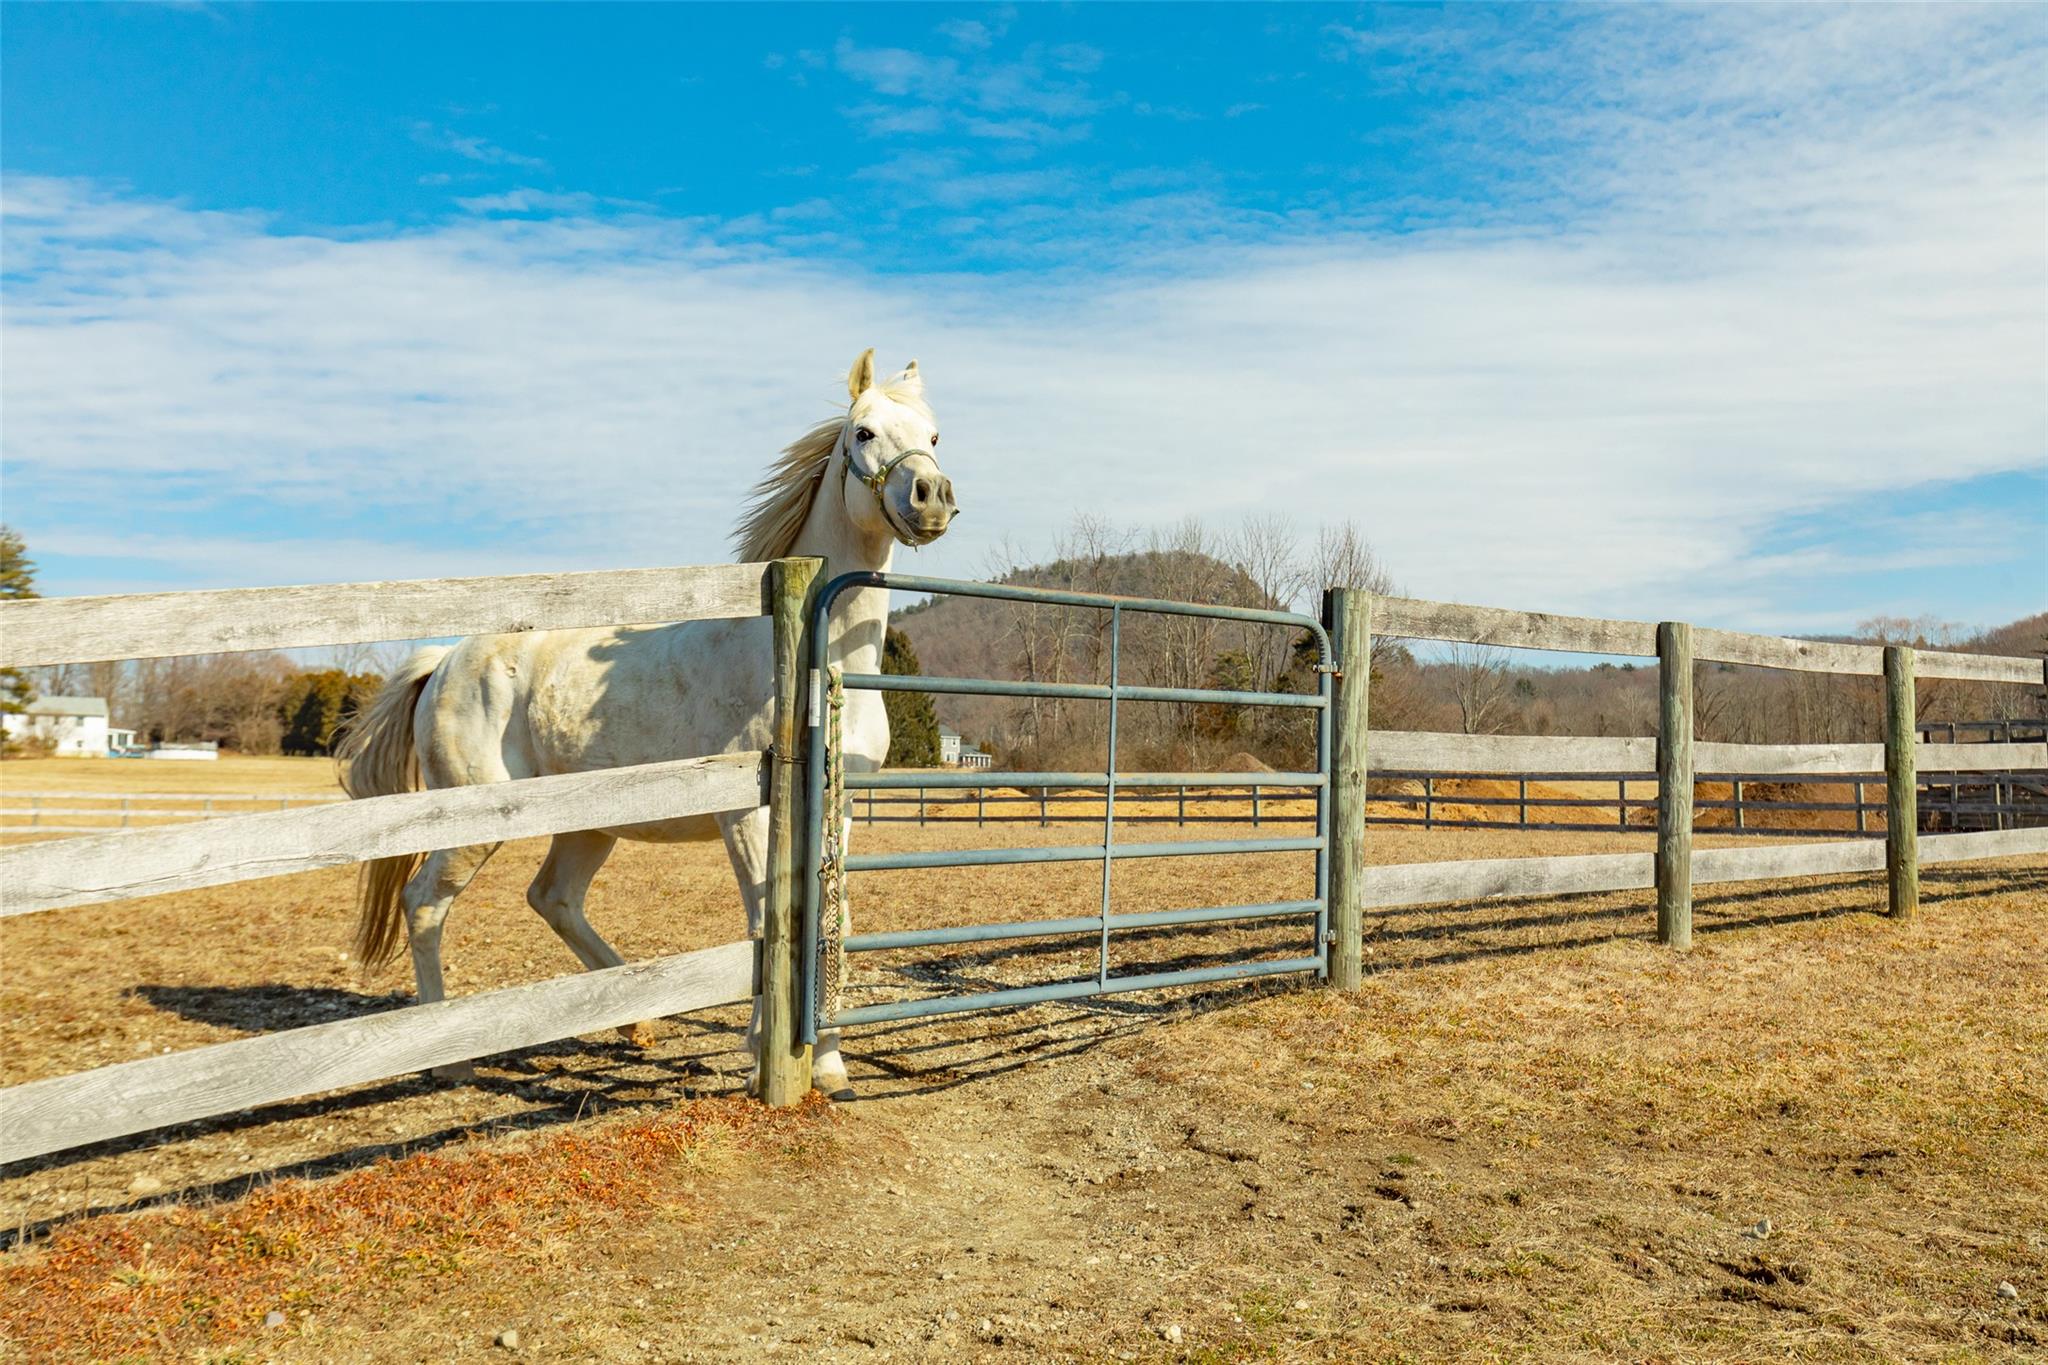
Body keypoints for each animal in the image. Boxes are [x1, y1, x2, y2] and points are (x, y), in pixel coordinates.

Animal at [339, 351, 954, 1096]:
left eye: (933, 435)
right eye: (863, 432)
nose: (931, 495)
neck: (808, 657)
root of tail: (444, 660)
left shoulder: (840, 811)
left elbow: (831, 915)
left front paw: (830, 1064)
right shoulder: (747, 817)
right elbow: (765, 917)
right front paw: (762, 1053)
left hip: (587, 827)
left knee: (552, 898)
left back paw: (637, 1022)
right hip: (471, 823)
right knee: (426, 903)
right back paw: (449, 1057)